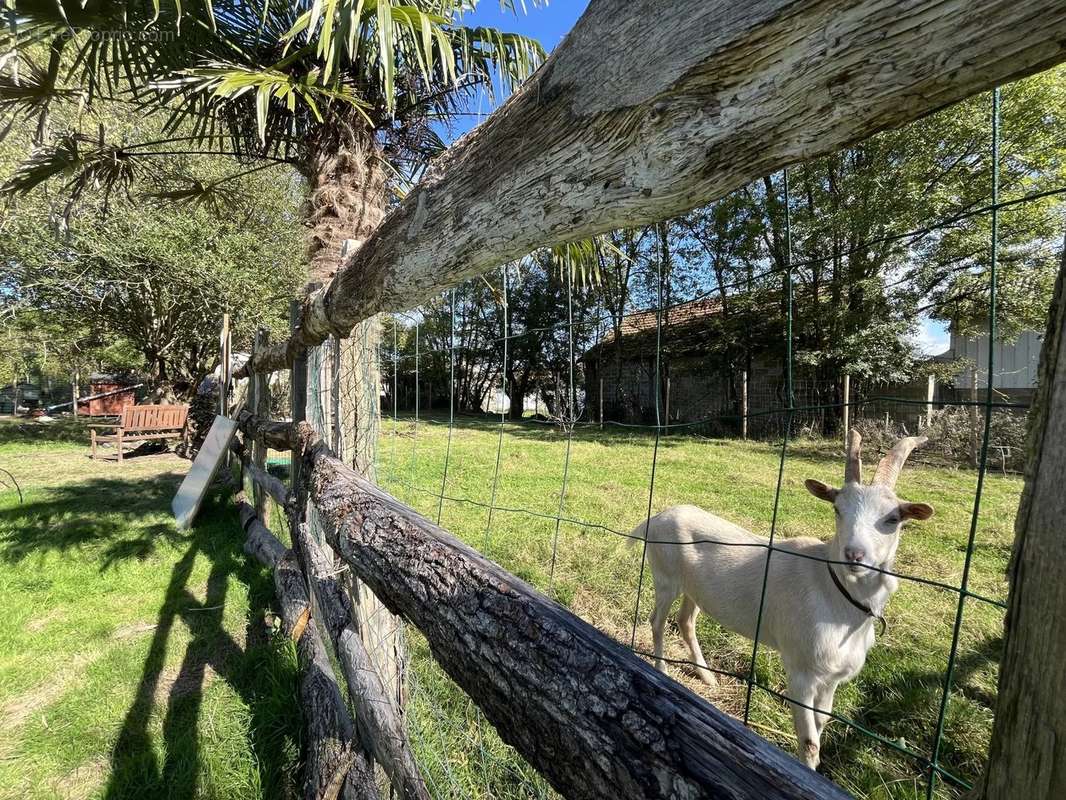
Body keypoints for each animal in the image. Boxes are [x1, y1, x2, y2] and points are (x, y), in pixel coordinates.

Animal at [639, 433, 933, 772]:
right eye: (837, 509)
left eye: (893, 518)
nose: (854, 554)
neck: (837, 597)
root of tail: (656, 518)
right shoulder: (801, 670)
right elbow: (809, 741)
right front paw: (807, 772)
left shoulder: (832, 676)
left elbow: (822, 721)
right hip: (666, 578)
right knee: (657, 622)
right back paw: (661, 670)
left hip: (694, 590)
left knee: (686, 621)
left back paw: (707, 676)